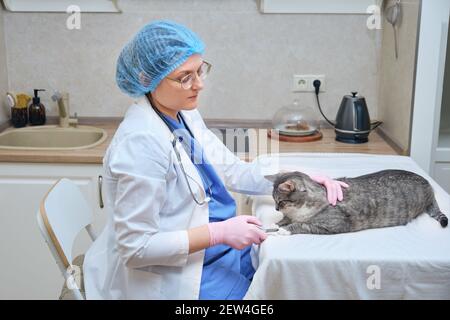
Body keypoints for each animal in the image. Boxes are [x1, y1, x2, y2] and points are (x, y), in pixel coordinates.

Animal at [264, 170, 446, 235]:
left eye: (280, 201)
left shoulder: (334, 225)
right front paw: (278, 223)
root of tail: (429, 183)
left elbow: (303, 225)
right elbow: (286, 220)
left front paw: (284, 229)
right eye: (274, 200)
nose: (276, 208)